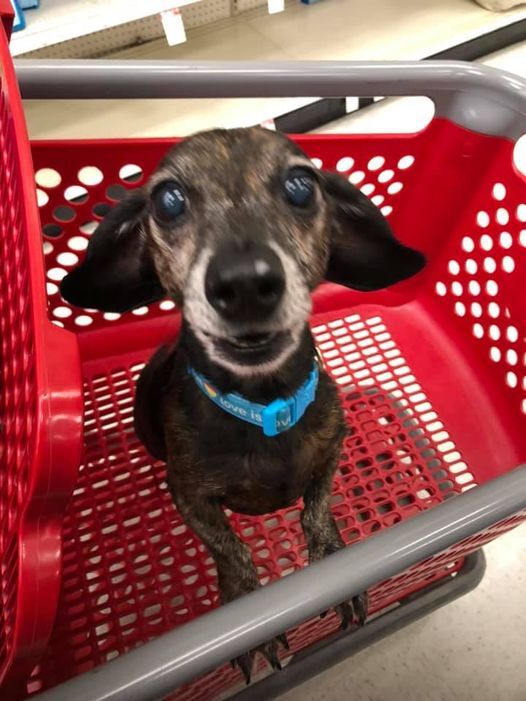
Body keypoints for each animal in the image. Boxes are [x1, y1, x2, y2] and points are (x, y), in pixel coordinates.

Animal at [62, 126, 426, 680]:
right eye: (167, 201)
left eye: (301, 186)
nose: (245, 282)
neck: (264, 406)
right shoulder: (188, 496)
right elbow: (230, 549)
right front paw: (250, 613)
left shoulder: (332, 450)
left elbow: (316, 510)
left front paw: (333, 561)